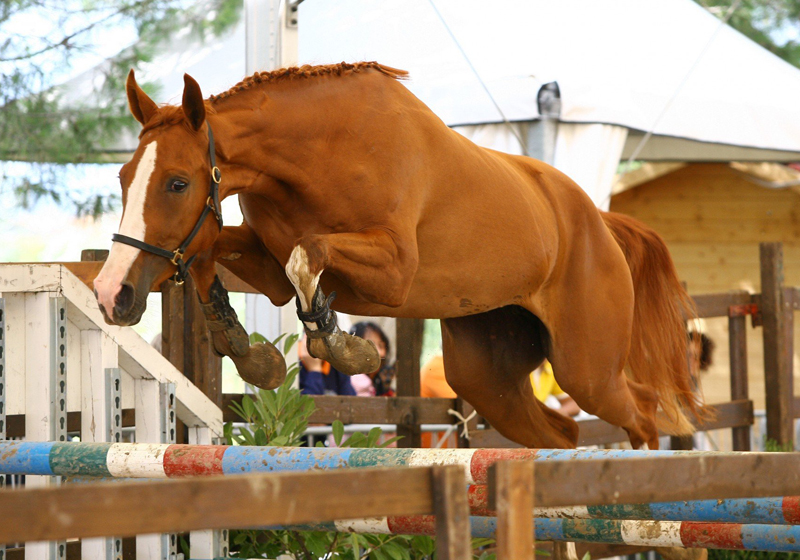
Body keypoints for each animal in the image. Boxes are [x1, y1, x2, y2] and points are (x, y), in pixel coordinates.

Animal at [93, 61, 705, 451]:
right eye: (122, 177)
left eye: (176, 183)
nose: (111, 293)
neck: (320, 153)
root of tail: (600, 223)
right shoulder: (267, 267)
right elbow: (211, 255)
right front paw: (245, 348)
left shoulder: (393, 272)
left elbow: (308, 254)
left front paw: (341, 344)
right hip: (490, 379)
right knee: (565, 435)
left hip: (587, 369)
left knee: (643, 415)